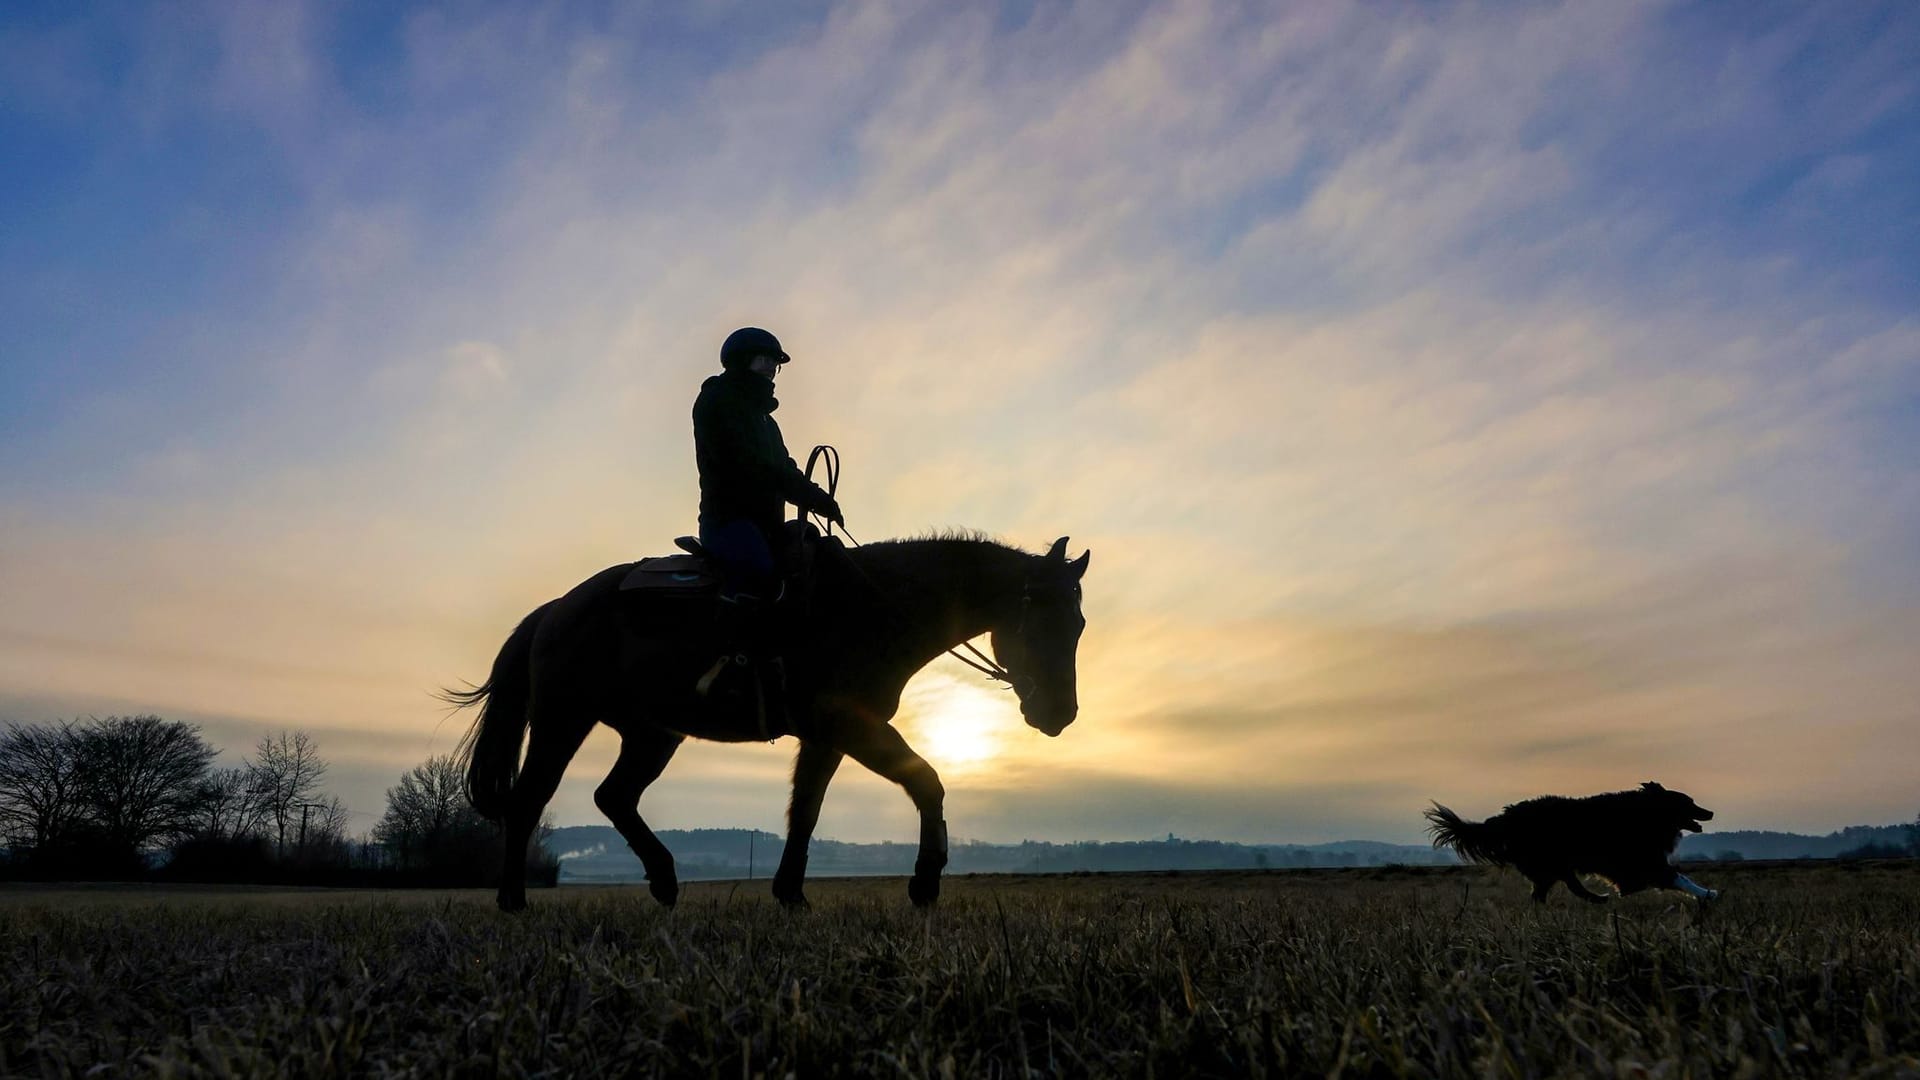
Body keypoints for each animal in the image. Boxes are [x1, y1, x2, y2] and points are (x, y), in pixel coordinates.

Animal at [439, 530, 1090, 907]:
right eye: (1045, 619)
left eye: (1080, 624)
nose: (1061, 713)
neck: (874, 607)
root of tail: (555, 609)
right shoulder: (850, 726)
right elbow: (925, 780)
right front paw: (925, 880)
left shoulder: (829, 737)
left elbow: (806, 811)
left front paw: (791, 894)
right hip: (563, 721)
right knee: (529, 800)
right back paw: (514, 901)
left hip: (652, 733)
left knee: (614, 797)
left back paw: (665, 881)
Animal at [1428, 776, 1728, 895]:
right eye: (1689, 802)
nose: (1711, 812)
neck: (1646, 813)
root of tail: (1506, 817)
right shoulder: (1644, 861)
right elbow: (1677, 877)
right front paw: (1708, 894)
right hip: (1552, 862)